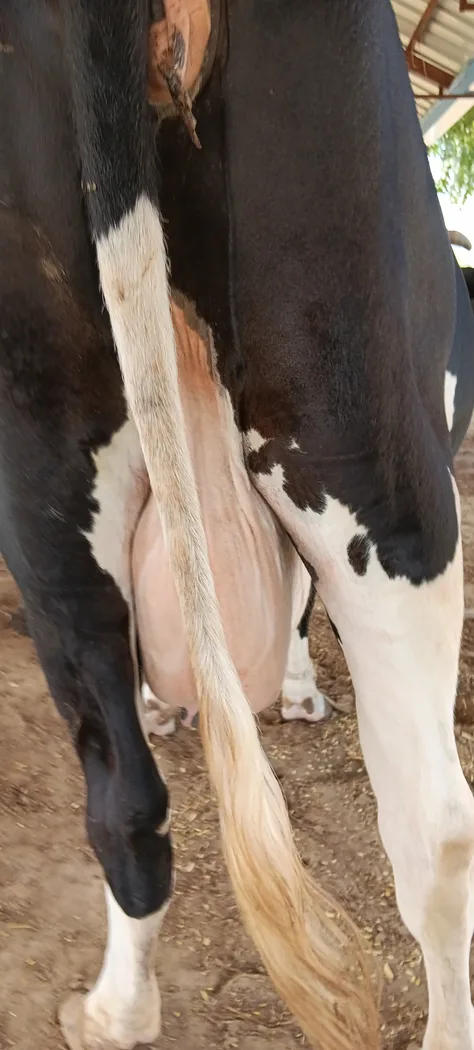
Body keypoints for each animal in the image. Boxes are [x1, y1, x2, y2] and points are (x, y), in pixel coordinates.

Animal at [2, 3, 474, 1050]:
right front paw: (295, 692)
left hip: (46, 457)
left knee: (125, 803)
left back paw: (114, 1011)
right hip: (372, 458)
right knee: (439, 832)